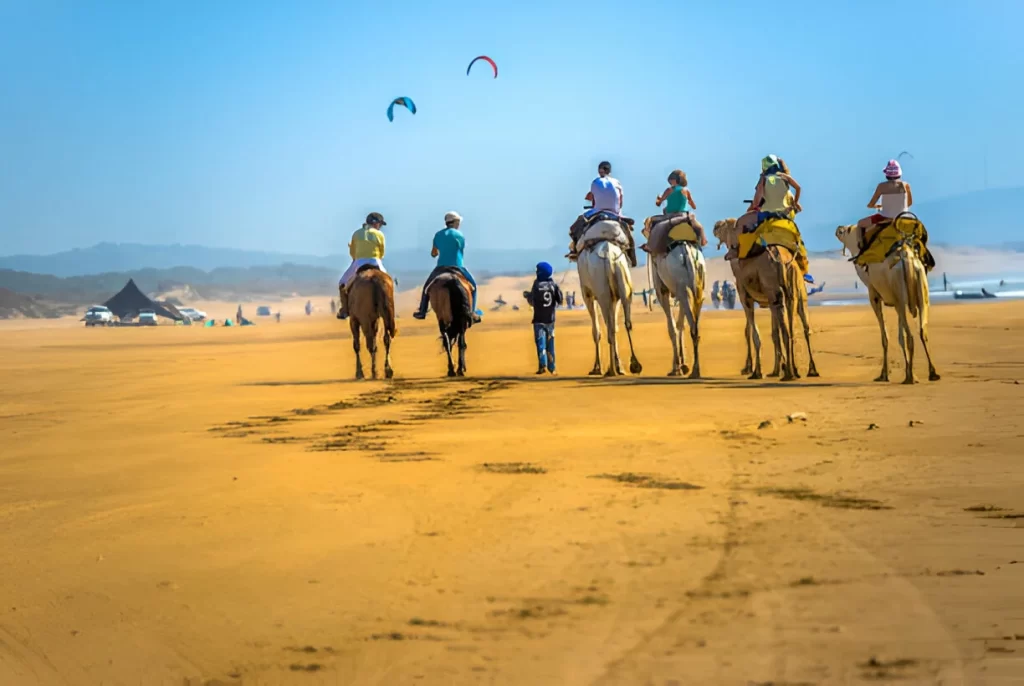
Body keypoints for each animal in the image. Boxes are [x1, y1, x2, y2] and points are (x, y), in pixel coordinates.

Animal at [577, 220, 638, 378]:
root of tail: (609, 254)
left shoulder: (587, 294)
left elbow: (596, 331)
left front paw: (597, 368)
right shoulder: (615, 297)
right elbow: (615, 326)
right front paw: (617, 364)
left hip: (602, 290)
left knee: (608, 327)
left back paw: (611, 370)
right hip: (622, 279)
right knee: (626, 323)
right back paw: (630, 365)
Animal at [655, 241, 704, 380]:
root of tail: (687, 254)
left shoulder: (662, 290)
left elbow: (672, 328)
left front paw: (676, 367)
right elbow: (680, 324)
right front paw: (683, 365)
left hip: (681, 286)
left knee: (692, 327)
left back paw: (695, 371)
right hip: (697, 286)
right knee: (694, 324)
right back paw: (694, 370)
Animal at [712, 219, 815, 380]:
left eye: (722, 227)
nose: (715, 226)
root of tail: (781, 260)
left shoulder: (745, 297)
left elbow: (752, 332)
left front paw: (755, 371)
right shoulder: (769, 302)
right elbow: (773, 333)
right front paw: (775, 370)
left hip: (775, 291)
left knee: (786, 330)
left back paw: (789, 374)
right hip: (795, 290)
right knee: (802, 327)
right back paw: (807, 370)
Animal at [835, 227, 937, 384]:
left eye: (847, 229)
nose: (838, 229)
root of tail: (907, 258)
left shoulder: (874, 295)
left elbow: (885, 337)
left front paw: (884, 375)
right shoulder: (896, 302)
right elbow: (900, 337)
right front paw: (909, 373)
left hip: (898, 292)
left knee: (911, 336)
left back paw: (911, 378)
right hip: (920, 293)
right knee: (922, 331)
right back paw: (931, 373)